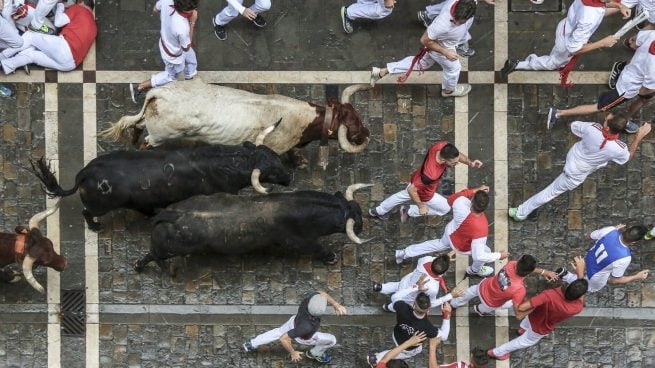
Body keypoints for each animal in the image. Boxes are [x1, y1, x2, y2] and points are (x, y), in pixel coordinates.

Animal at [100, 80, 372, 169]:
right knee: (146, 142)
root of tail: (158, 93)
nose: (367, 134)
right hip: (159, 135)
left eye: (358, 116)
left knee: (137, 127)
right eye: (354, 124)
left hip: (149, 122)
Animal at [135, 183, 368, 272]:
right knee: (152, 255)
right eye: (355, 221)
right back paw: (141, 266)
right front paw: (331, 257)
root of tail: (172, 214)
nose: (362, 226)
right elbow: (318, 248)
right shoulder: (300, 242)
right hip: (168, 249)